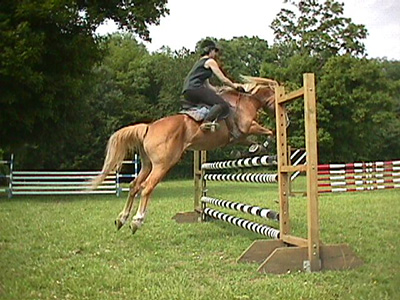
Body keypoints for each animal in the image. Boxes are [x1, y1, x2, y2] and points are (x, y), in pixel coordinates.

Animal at [90, 76, 278, 233]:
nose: (281, 115)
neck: (247, 102)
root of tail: (149, 127)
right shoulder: (248, 127)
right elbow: (270, 131)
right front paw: (266, 144)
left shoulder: (240, 136)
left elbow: (252, 140)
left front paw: (255, 149)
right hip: (163, 165)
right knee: (147, 187)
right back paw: (137, 221)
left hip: (148, 165)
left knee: (134, 186)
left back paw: (122, 219)